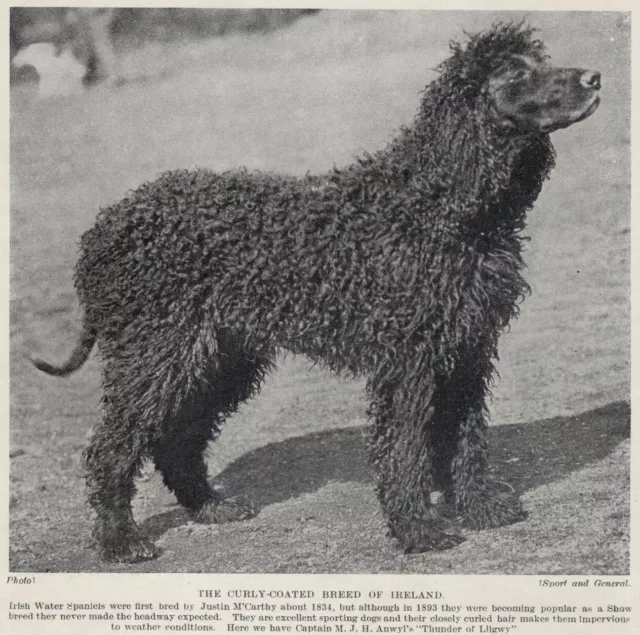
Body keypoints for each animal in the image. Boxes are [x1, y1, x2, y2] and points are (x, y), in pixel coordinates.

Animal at [33, 22, 600, 564]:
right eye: (517, 73)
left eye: (540, 61)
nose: (595, 77)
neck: (440, 202)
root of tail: (102, 229)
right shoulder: (409, 363)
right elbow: (406, 451)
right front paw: (417, 530)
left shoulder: (466, 351)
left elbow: (466, 438)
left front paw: (480, 508)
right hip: (155, 354)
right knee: (112, 447)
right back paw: (120, 541)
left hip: (217, 358)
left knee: (178, 439)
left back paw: (211, 507)